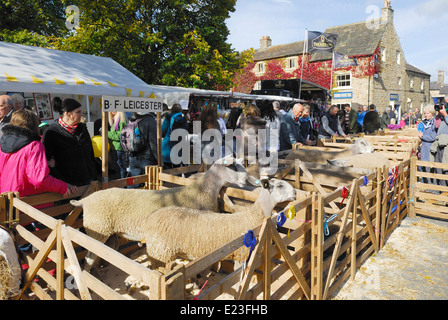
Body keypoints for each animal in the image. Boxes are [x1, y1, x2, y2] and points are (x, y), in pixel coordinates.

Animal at [117, 179, 296, 268]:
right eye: (279, 185)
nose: (295, 193)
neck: (253, 216)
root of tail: (151, 218)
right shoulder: (241, 255)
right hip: (161, 253)